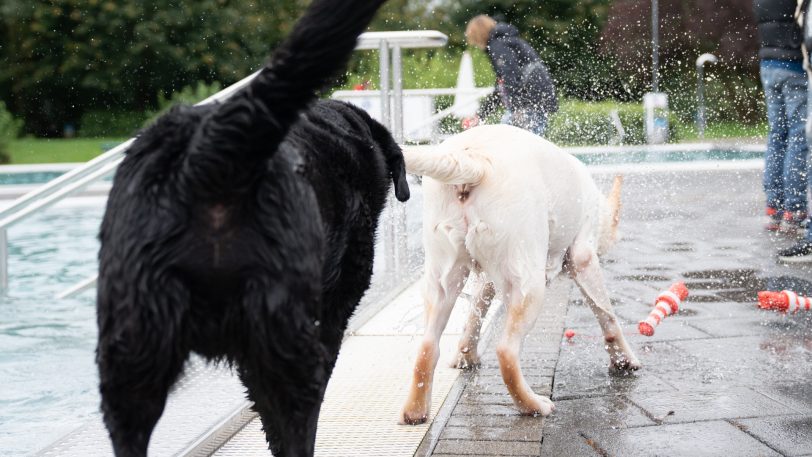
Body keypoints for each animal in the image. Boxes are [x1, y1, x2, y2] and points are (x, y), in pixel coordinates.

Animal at [400, 124, 640, 424]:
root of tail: (475, 158)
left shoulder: (489, 278)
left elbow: (476, 312)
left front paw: (467, 355)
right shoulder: (583, 258)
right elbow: (607, 315)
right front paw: (623, 359)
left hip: (443, 277)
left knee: (427, 346)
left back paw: (415, 411)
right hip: (531, 285)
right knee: (506, 352)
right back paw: (533, 405)